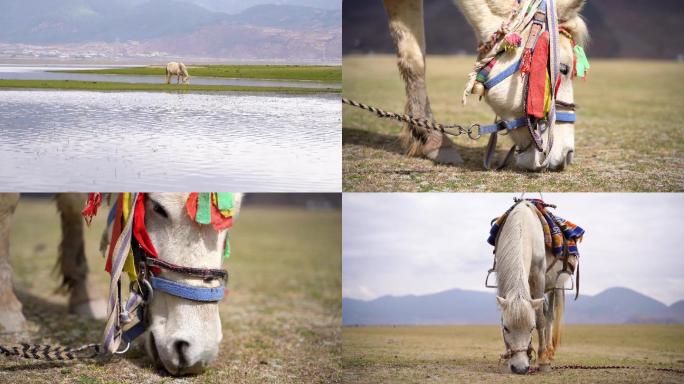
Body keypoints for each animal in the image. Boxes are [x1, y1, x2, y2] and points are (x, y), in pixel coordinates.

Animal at [0, 192, 243, 376]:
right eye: (158, 207)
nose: (198, 354)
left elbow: (73, 202)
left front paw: (83, 297)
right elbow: (7, 202)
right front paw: (7, 308)